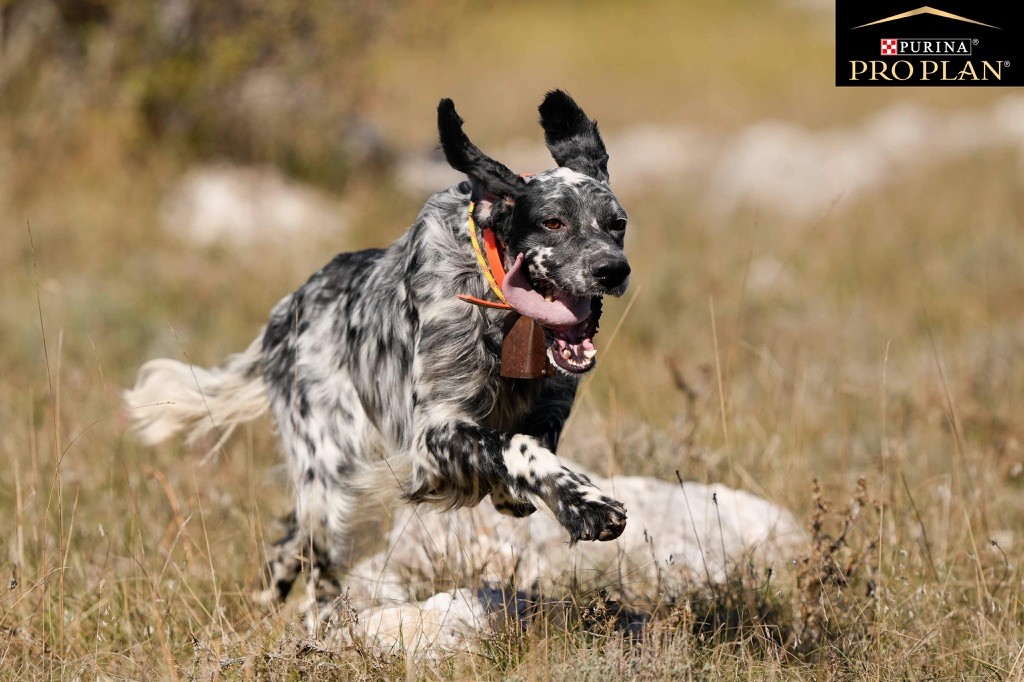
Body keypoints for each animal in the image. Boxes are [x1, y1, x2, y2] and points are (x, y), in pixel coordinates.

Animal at [123, 90, 626, 626]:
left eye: (617, 224)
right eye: (553, 222)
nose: (613, 270)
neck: (501, 314)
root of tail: (282, 318)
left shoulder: (547, 407)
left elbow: (533, 445)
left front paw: (547, 496)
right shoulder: (432, 435)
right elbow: (517, 447)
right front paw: (589, 505)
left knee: (290, 538)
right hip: (332, 473)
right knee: (317, 563)